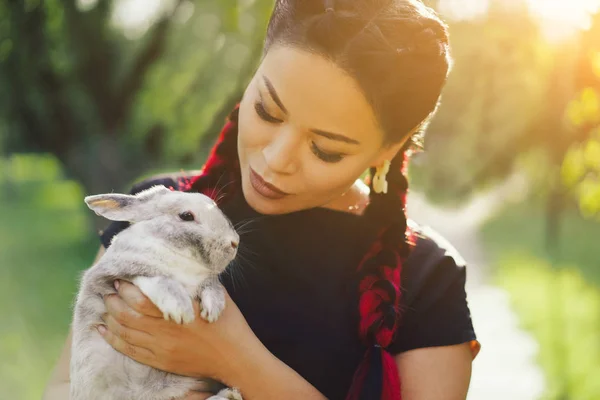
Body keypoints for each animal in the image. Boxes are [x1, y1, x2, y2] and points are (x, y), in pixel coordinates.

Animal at [72, 185, 244, 400]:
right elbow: (161, 279)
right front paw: (181, 311)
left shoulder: (205, 280)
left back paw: (229, 394)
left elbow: (211, 285)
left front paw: (213, 310)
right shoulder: (121, 273)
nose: (234, 243)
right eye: (186, 216)